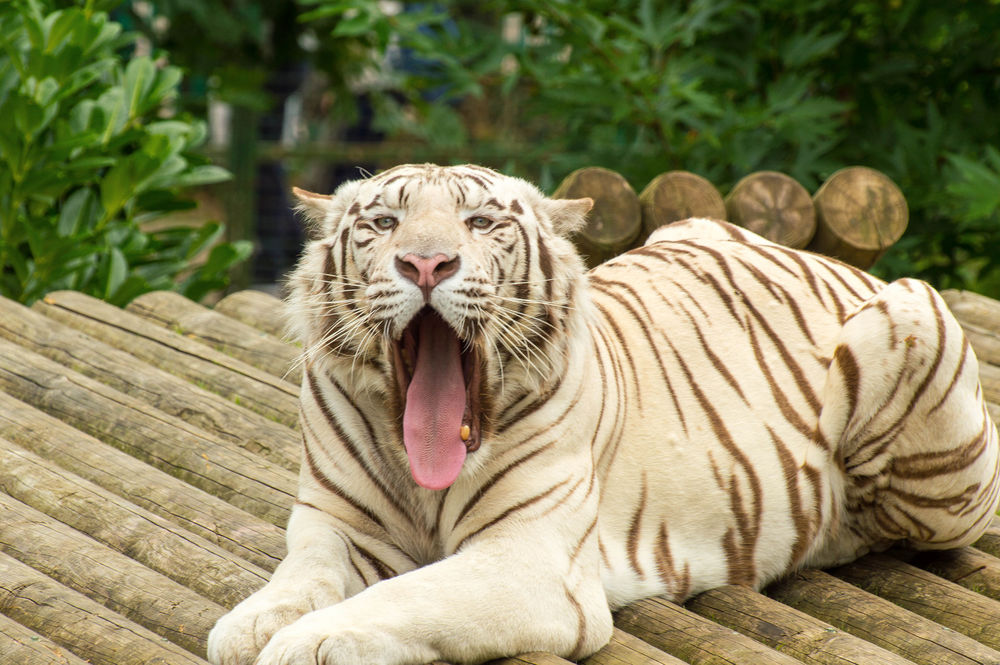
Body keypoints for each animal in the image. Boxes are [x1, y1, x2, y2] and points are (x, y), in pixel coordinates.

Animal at [207, 163, 1000, 665]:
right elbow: (299, 576)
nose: (426, 264)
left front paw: (301, 642)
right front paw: (253, 623)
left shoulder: (529, 561)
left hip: (916, 326)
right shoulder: (338, 523)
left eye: (480, 221)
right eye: (382, 222)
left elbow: (404, 597)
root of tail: (833, 262)